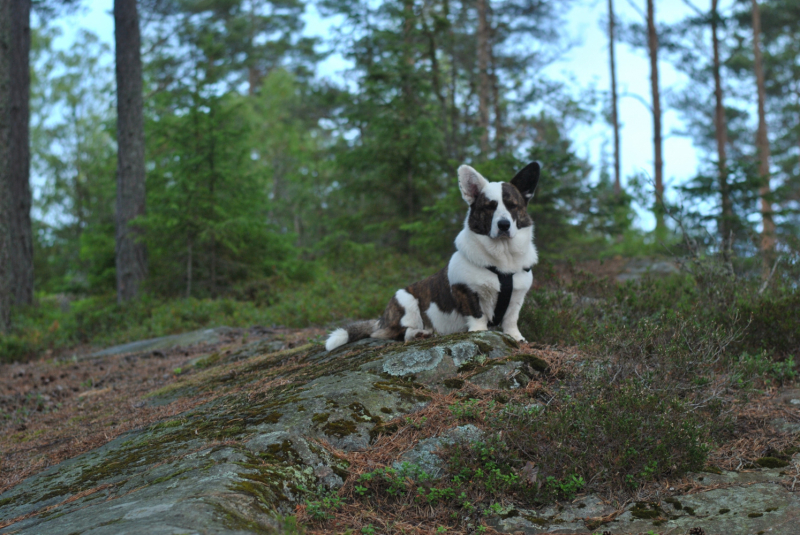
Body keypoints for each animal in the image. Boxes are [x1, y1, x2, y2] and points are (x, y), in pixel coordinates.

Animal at [322, 163, 540, 354]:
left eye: (513, 206)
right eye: (489, 207)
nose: (504, 225)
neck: (502, 257)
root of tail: (381, 319)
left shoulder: (517, 296)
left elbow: (511, 319)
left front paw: (516, 337)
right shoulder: (466, 290)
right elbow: (477, 315)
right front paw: (479, 333)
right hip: (406, 301)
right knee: (399, 333)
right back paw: (419, 333)